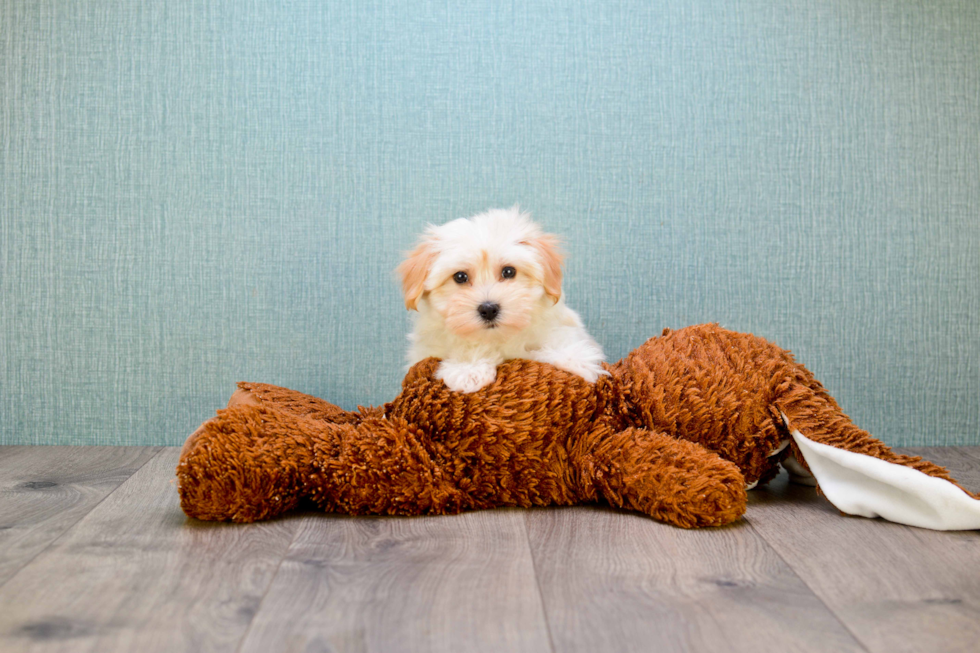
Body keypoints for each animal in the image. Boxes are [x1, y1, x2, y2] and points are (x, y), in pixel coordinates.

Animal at [396, 208, 608, 392]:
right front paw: (468, 369)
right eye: (460, 277)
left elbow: (558, 340)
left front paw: (575, 359)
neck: (499, 338)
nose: (489, 309)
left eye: (508, 271)